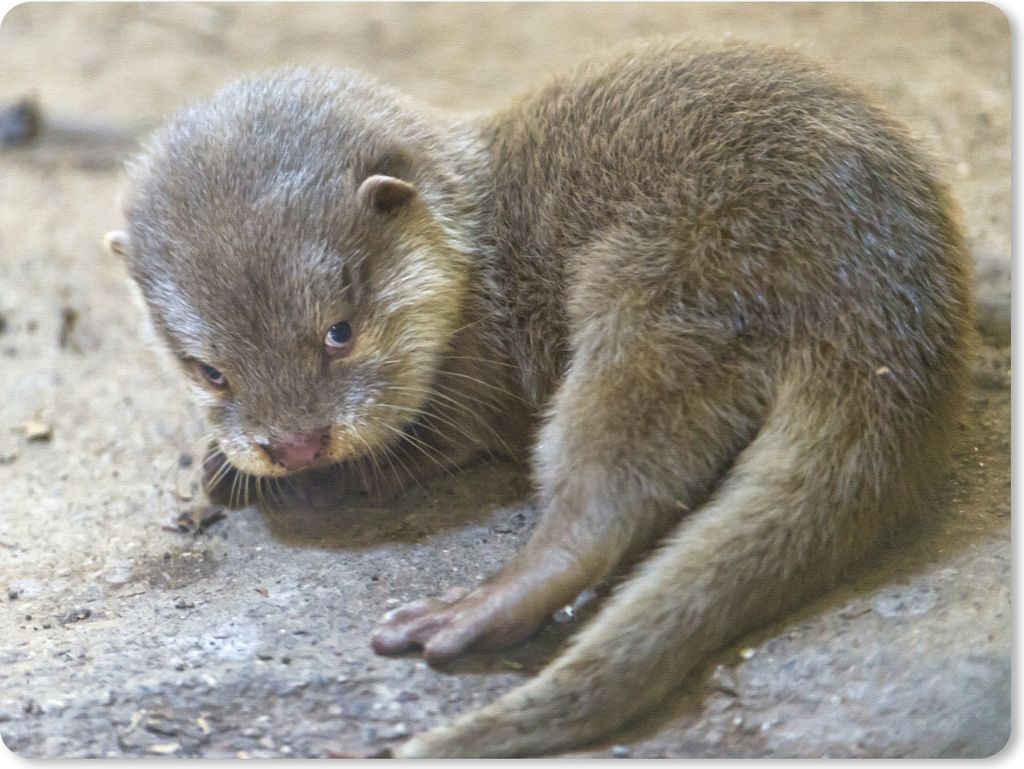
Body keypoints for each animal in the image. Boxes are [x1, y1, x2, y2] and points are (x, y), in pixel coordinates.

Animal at [107, 41, 973, 757]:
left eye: (339, 331)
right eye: (209, 370)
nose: (294, 443)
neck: (477, 249)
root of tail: (889, 305)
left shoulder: (472, 375)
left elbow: (403, 452)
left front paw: (243, 479)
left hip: (670, 288)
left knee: (609, 494)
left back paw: (473, 610)